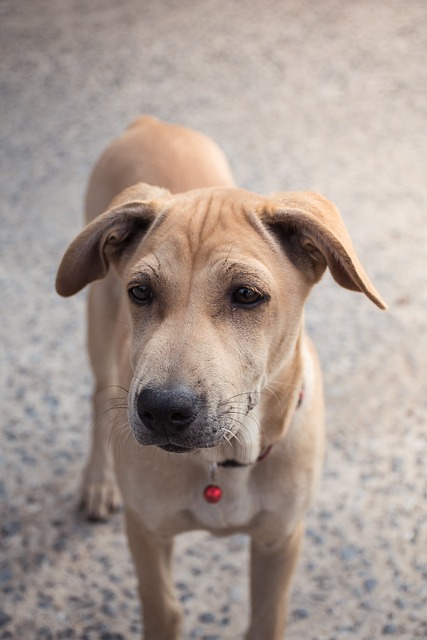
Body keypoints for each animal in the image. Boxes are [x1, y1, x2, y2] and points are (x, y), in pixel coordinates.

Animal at [55, 116, 386, 640]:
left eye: (247, 295)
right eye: (140, 292)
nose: (161, 410)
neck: (225, 463)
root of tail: (151, 123)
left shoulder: (281, 540)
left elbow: (266, 619)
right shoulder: (146, 531)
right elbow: (164, 610)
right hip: (99, 320)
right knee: (97, 395)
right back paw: (98, 481)